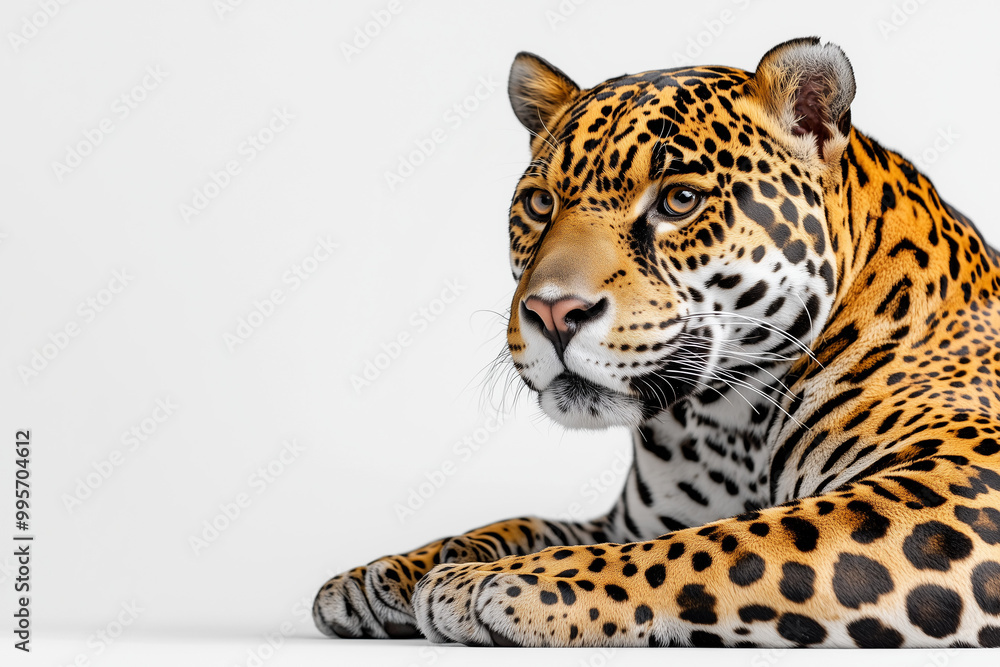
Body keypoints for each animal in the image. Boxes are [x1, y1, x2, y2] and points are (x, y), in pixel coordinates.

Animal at [313, 37, 1000, 648]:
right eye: (539, 203)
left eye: (679, 200)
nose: (553, 312)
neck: (726, 422)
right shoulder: (634, 516)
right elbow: (532, 522)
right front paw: (391, 572)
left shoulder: (958, 485)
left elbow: (714, 547)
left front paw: (490, 582)